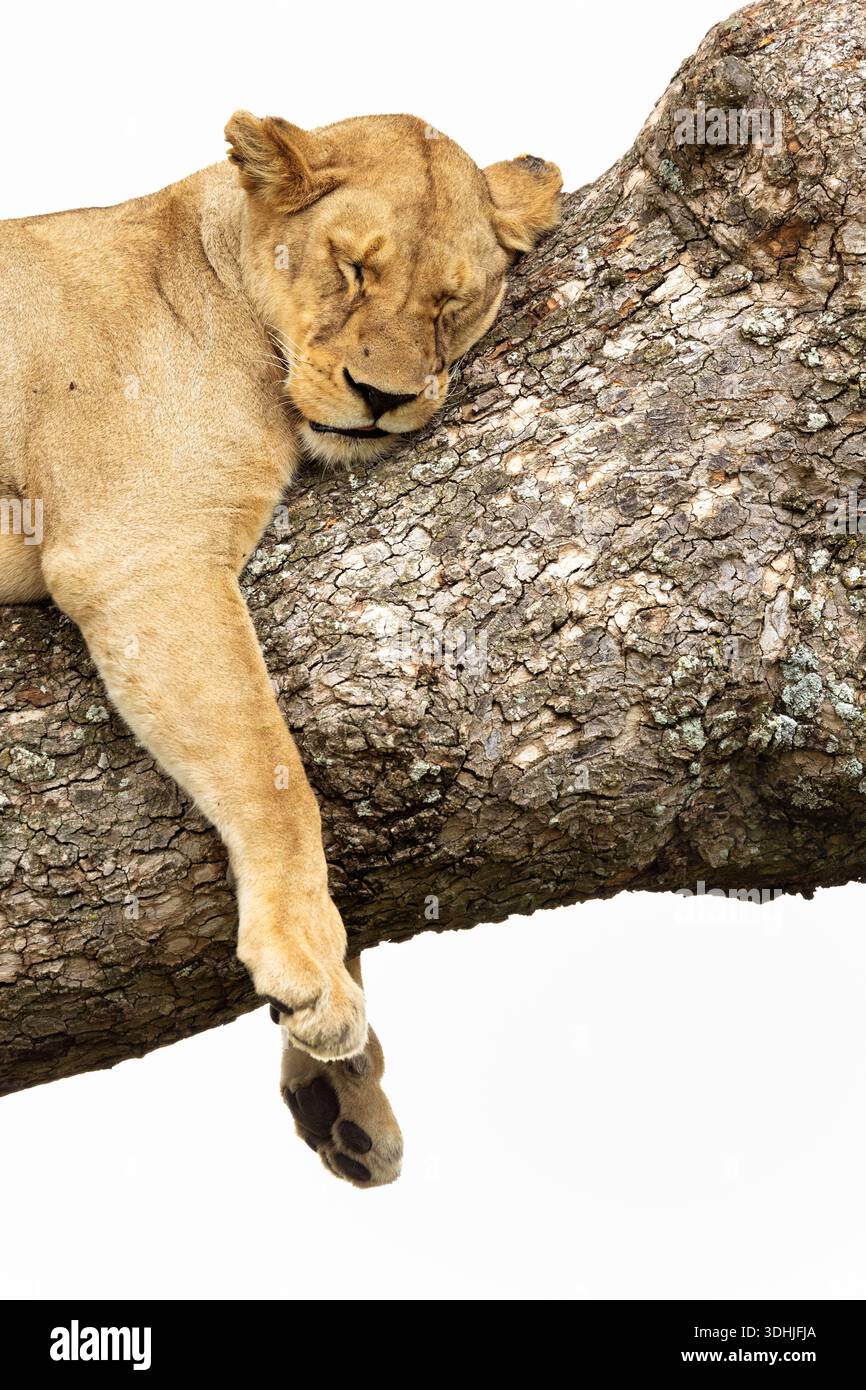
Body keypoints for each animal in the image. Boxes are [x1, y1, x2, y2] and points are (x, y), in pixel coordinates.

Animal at [0, 112, 561, 1184]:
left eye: (452, 303)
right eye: (351, 268)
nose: (381, 397)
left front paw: (338, 1083)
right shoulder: (146, 554)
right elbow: (271, 767)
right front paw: (306, 958)